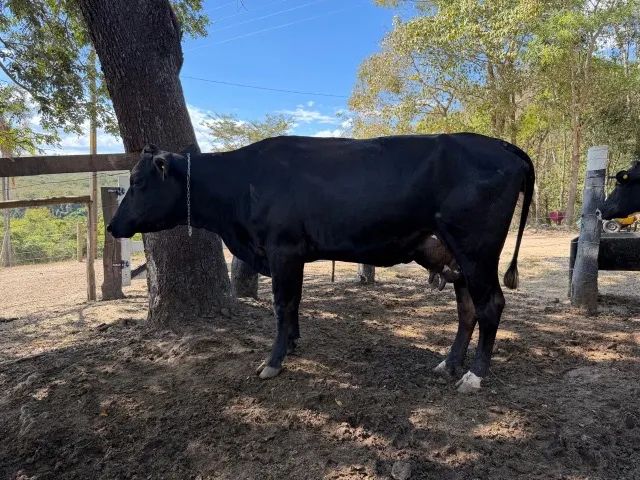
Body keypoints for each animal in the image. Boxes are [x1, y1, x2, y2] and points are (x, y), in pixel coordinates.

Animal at [107, 133, 535, 393]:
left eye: (139, 182)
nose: (112, 226)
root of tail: (503, 147)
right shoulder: (291, 255)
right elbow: (294, 303)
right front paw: (293, 345)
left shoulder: (283, 249)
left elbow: (283, 304)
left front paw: (273, 361)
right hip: (455, 256)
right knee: (467, 310)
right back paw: (448, 364)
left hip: (476, 249)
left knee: (491, 304)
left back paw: (474, 376)